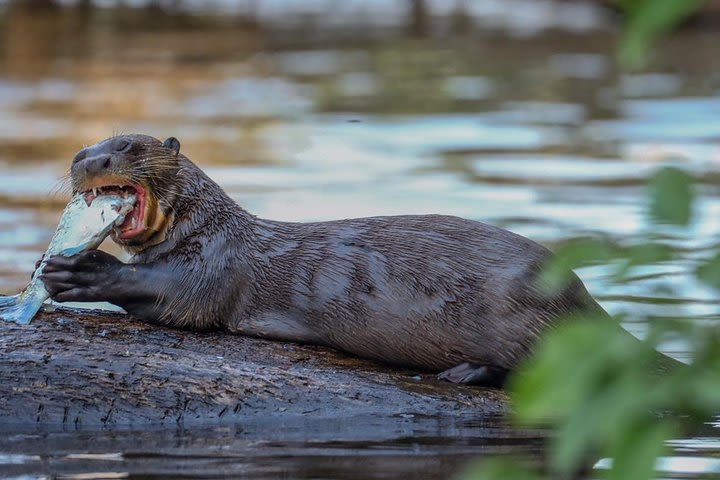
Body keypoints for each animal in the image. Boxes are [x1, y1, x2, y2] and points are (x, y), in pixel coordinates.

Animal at [40, 133, 608, 388]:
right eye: (82, 153)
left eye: (130, 146)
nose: (89, 160)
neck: (208, 227)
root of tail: (582, 296)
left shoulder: (214, 265)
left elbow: (177, 297)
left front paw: (83, 270)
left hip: (523, 314)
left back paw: (466, 372)